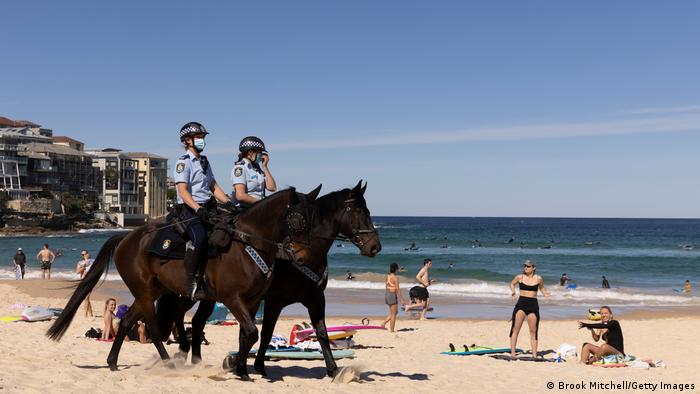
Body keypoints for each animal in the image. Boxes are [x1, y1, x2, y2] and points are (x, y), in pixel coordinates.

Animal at [46, 186, 304, 380]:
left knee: (129, 321)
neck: (247, 244)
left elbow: (247, 334)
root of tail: (127, 236)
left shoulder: (252, 301)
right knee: (154, 329)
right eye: (300, 219)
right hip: (146, 293)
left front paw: (241, 370)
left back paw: (113, 362)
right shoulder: (232, 298)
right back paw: (168, 362)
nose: (299, 258)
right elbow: (250, 333)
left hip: (152, 291)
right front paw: (231, 363)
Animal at [158, 180, 380, 378]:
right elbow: (264, 334)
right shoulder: (274, 301)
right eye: (359, 211)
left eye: (368, 211)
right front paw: (245, 363)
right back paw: (182, 350)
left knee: (196, 322)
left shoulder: (315, 299)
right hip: (190, 294)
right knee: (178, 313)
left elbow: (322, 334)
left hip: (210, 297)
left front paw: (333, 369)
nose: (375, 246)